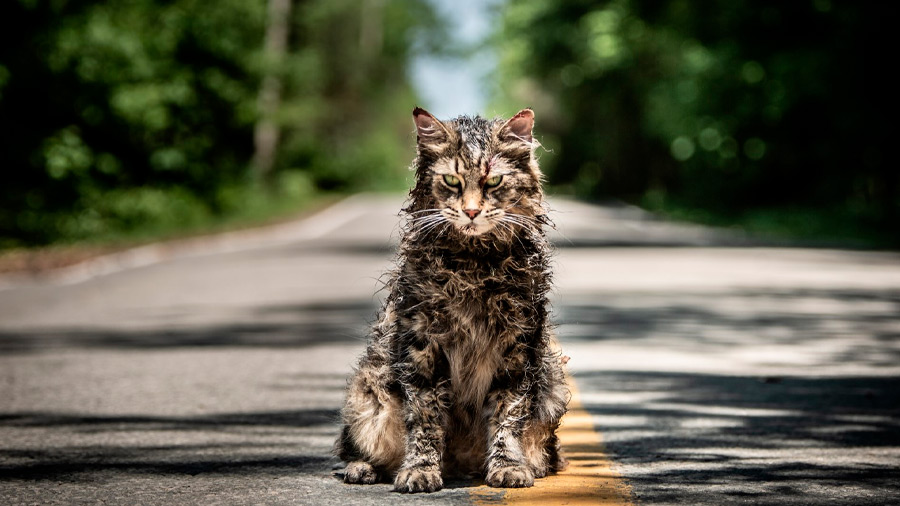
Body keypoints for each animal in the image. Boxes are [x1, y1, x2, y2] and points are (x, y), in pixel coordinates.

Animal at [334, 107, 568, 494]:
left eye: (493, 182)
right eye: (452, 181)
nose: (471, 212)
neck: (473, 265)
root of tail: (460, 465)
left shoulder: (518, 347)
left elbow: (508, 415)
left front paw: (508, 466)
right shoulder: (422, 346)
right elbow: (425, 419)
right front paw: (420, 471)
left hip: (553, 387)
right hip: (367, 392)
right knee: (354, 448)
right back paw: (363, 468)